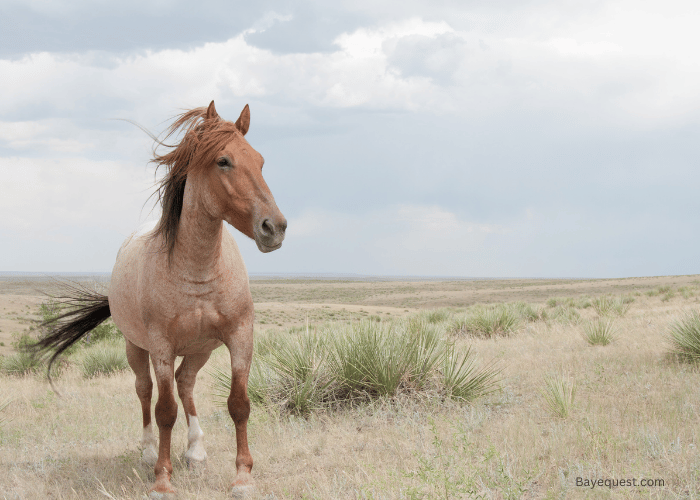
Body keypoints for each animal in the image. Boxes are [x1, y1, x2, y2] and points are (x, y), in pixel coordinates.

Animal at [29, 100, 288, 496]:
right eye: (223, 161)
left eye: (259, 161)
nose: (274, 228)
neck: (197, 269)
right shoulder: (161, 345)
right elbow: (164, 411)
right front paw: (162, 480)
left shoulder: (240, 336)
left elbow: (238, 403)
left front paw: (243, 478)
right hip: (136, 348)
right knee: (146, 391)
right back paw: (149, 452)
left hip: (199, 348)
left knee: (186, 383)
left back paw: (196, 451)